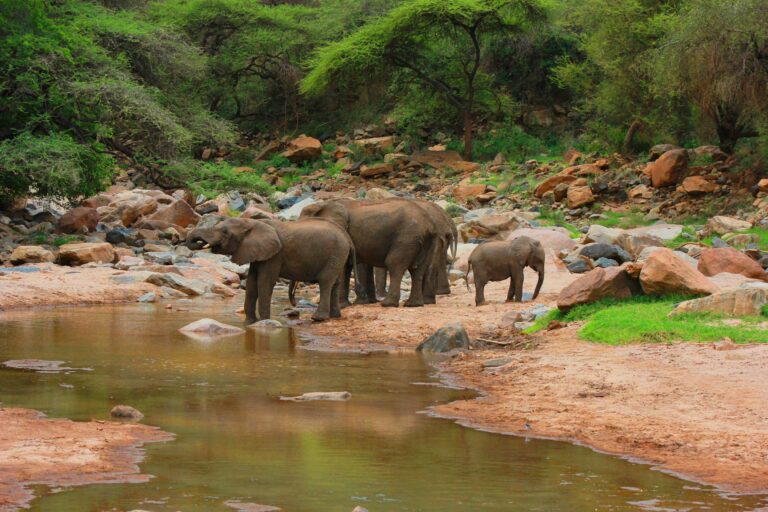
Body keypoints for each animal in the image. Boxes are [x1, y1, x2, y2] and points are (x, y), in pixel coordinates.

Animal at [186, 217, 354, 322]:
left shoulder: (275, 255)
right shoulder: (257, 253)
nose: (294, 304)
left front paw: (264, 321)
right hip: (338, 254)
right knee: (335, 283)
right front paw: (250, 323)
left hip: (336, 252)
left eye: (225, 232)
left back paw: (318, 318)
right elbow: (252, 283)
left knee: (325, 281)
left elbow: (265, 282)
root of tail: (347, 236)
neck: (251, 222)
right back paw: (335, 316)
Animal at [298, 198, 436, 306]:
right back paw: (413, 304)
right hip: (425, 241)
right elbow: (350, 266)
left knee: (394, 264)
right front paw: (355, 303)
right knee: (418, 269)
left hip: (407, 237)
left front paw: (346, 305)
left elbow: (346, 266)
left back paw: (387, 304)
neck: (321, 204)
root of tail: (429, 223)